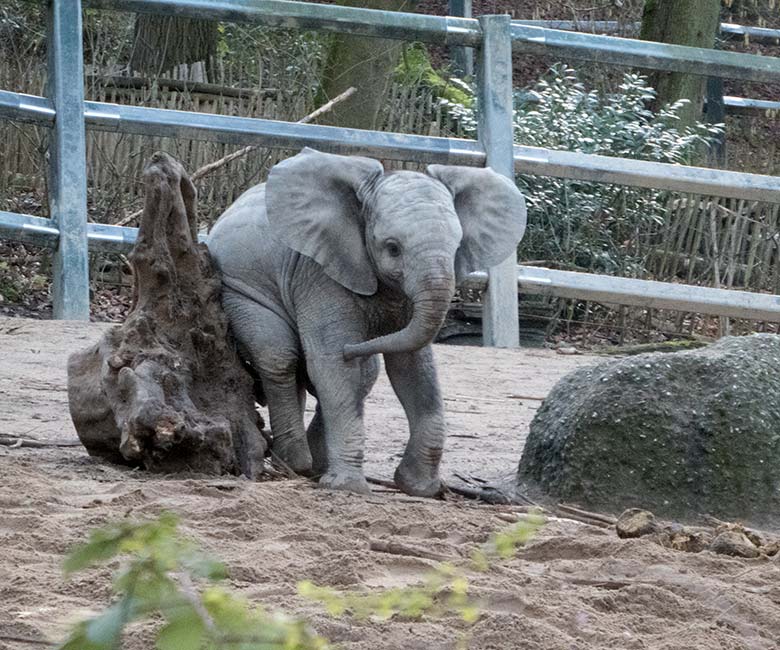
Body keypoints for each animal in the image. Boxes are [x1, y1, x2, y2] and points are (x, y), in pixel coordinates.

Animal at [207, 147, 528, 494]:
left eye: (457, 247)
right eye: (392, 248)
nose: (355, 347)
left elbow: (413, 367)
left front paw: (419, 487)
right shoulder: (318, 272)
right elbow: (332, 364)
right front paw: (347, 487)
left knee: (358, 376)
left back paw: (310, 464)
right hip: (239, 291)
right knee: (279, 356)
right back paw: (297, 462)